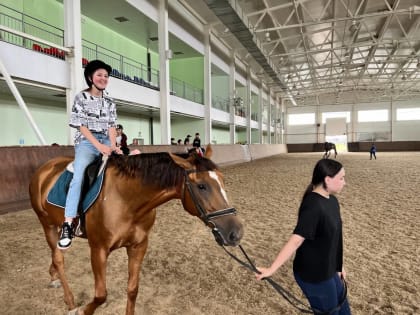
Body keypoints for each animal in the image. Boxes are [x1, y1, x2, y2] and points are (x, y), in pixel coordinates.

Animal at [28, 147, 243, 314]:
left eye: (222, 181)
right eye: (201, 186)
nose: (236, 232)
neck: (126, 199)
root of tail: (45, 169)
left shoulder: (138, 246)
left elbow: (132, 289)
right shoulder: (98, 249)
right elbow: (101, 295)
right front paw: (81, 310)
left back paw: (53, 275)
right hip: (47, 224)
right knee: (59, 258)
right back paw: (71, 301)